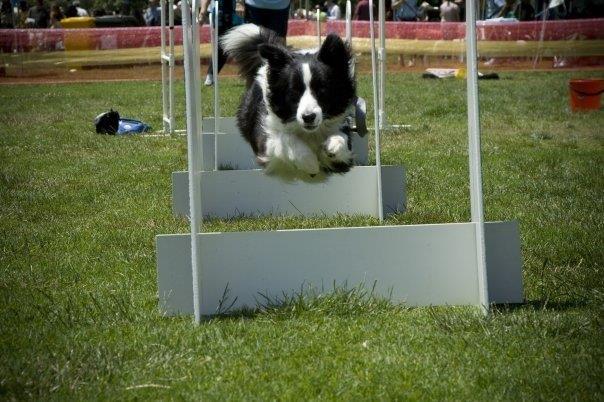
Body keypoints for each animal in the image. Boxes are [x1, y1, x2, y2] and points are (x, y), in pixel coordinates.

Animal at [222, 24, 356, 181]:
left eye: (322, 89)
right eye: (294, 91)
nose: (308, 117)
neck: (307, 132)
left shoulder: (344, 154)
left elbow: (342, 138)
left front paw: (333, 146)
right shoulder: (265, 144)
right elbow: (285, 138)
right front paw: (310, 163)